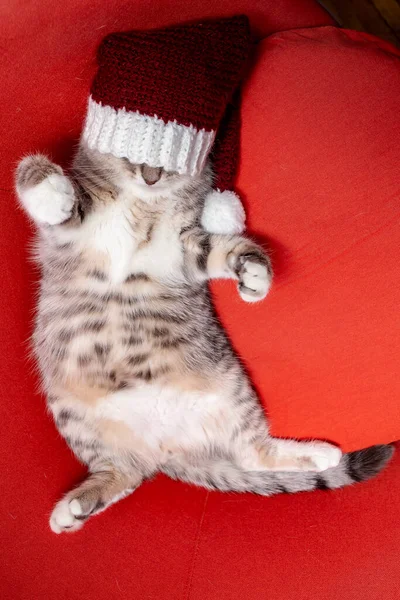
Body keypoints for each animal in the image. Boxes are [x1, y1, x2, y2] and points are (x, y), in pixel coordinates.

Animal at [15, 142, 394, 536]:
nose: (151, 176)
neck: (144, 208)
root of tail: (169, 451)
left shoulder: (185, 248)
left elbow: (223, 248)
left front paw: (254, 273)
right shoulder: (71, 231)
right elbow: (33, 174)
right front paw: (52, 191)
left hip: (230, 389)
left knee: (249, 454)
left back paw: (321, 453)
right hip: (73, 417)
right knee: (128, 471)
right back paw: (74, 509)